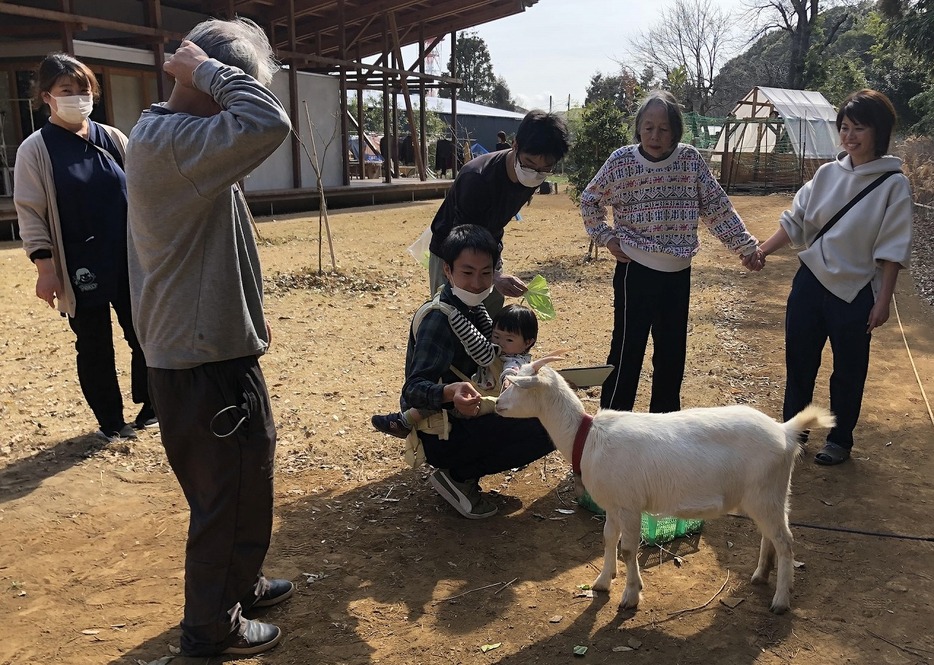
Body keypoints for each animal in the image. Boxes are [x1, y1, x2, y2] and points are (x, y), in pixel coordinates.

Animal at [500, 358, 836, 612]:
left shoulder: (630, 505)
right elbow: (608, 539)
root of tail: (785, 431)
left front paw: (630, 596)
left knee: (785, 541)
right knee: (773, 536)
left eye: (515, 385)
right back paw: (762, 575)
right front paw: (603, 582)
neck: (588, 438)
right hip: (770, 495)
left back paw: (780, 601)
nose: (497, 405)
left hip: (765, 493)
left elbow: (628, 549)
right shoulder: (613, 504)